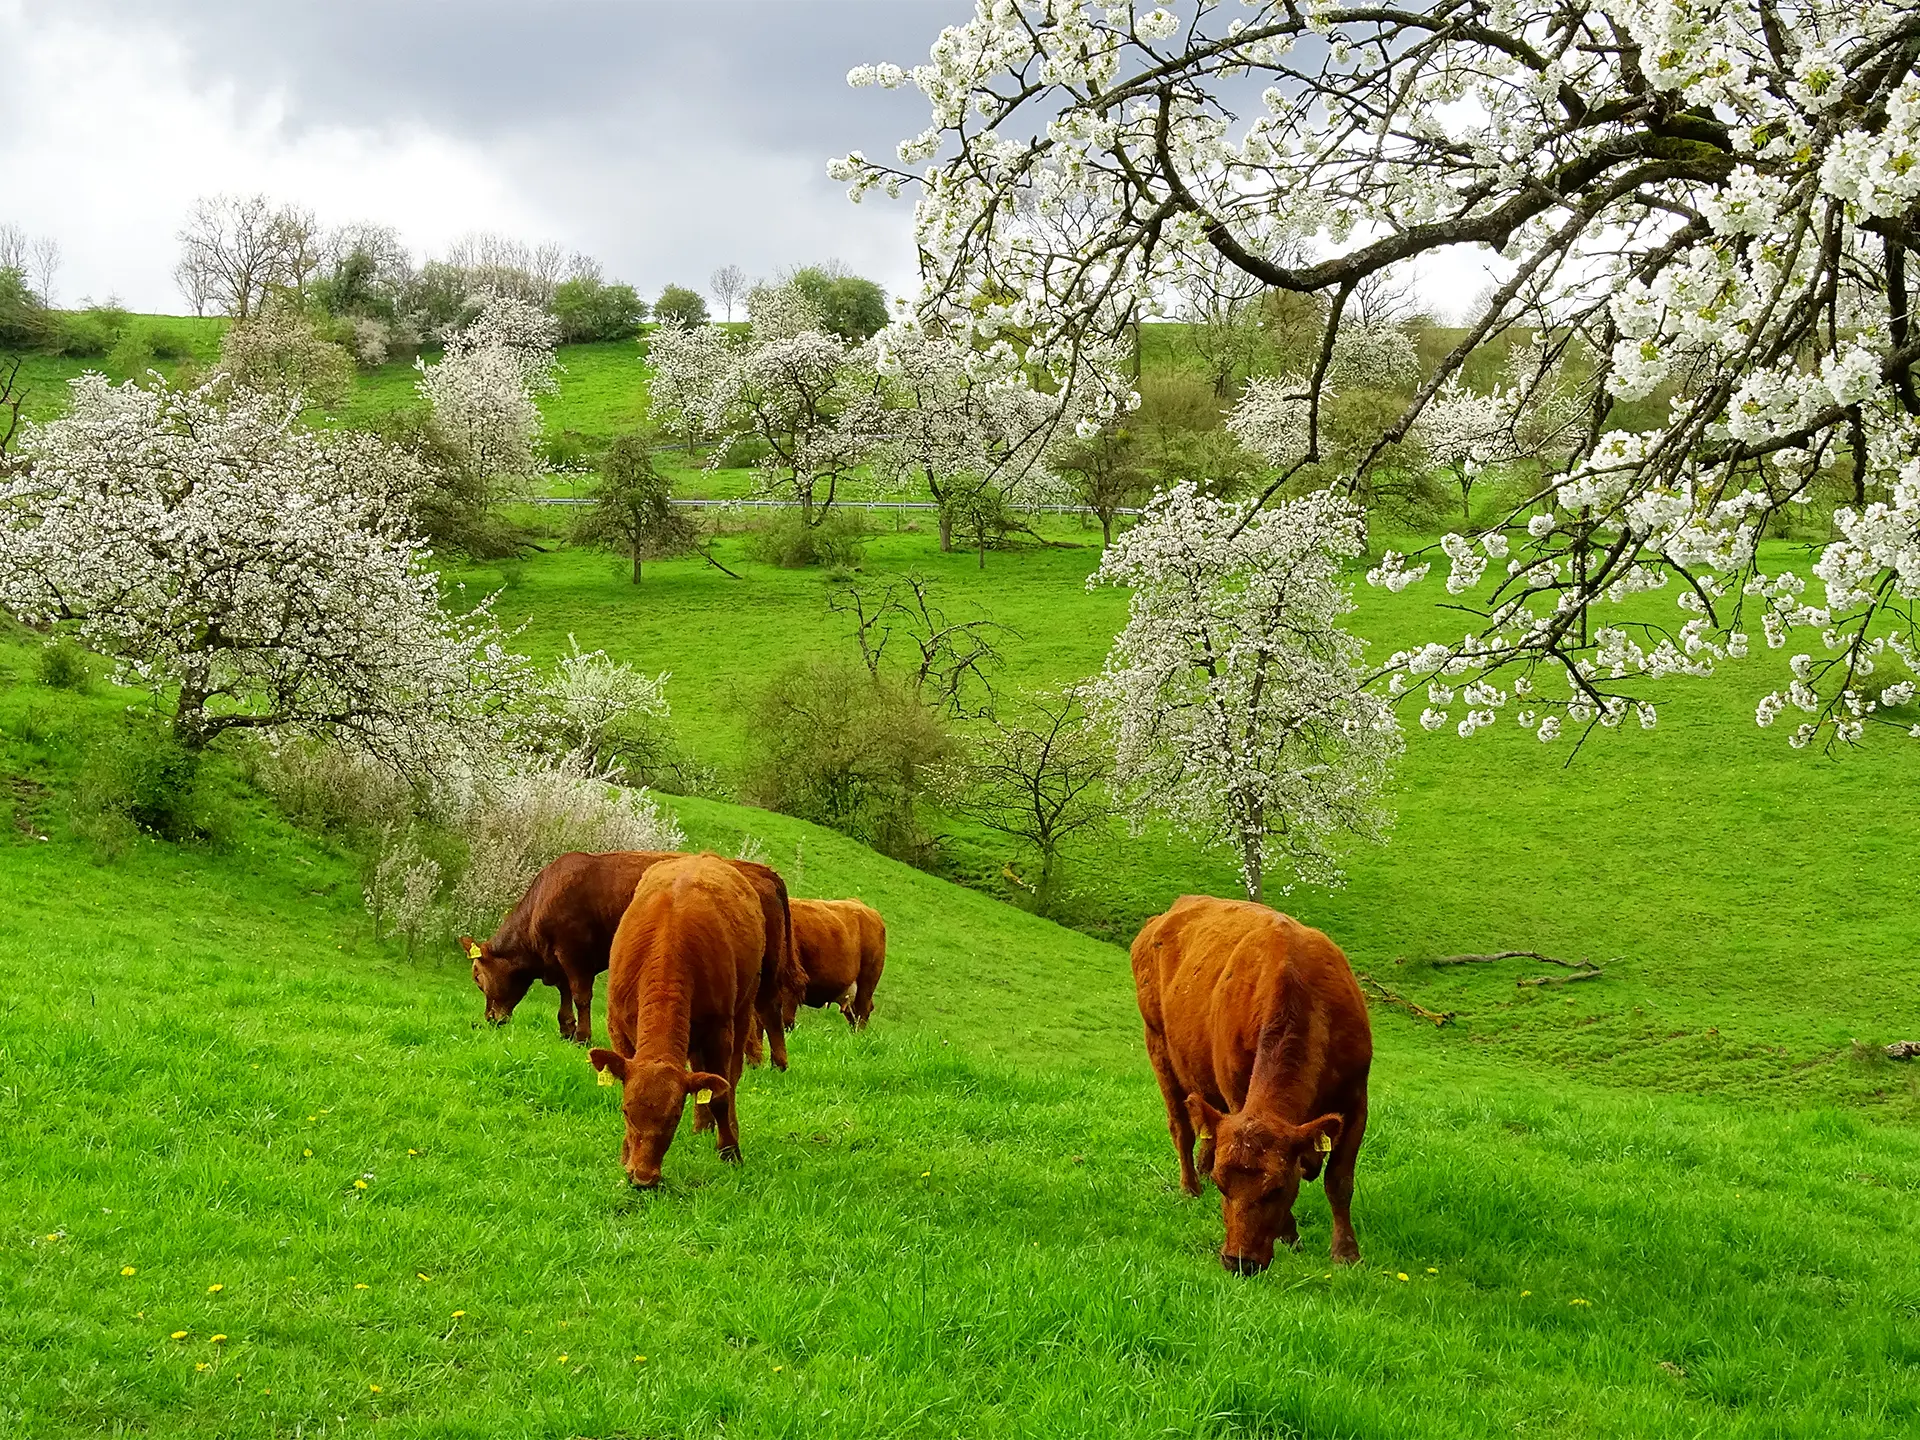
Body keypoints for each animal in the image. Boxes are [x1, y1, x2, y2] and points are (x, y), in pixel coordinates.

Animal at [458, 844, 802, 1075]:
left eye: (477, 978)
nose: (490, 1019)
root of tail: (763, 871)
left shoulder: (575, 954)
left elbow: (581, 996)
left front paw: (581, 1037)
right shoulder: (561, 960)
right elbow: (565, 996)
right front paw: (567, 1029)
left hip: (767, 966)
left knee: (769, 1009)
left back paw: (778, 1062)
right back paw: (756, 1060)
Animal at [583, 856, 764, 1182]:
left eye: (673, 1116)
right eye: (626, 1111)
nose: (643, 1177)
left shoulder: (720, 1029)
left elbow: (719, 1095)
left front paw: (730, 1151)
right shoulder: (618, 1028)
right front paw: (624, 1156)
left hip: (745, 1005)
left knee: (730, 1078)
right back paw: (702, 1126)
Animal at [1128, 898, 1374, 1282]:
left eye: (1276, 1188)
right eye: (1223, 1186)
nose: (1238, 1261)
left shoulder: (1356, 1099)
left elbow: (1339, 1181)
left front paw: (1346, 1253)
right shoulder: (1236, 1094)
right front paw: (1290, 1235)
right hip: (1157, 1044)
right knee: (1181, 1126)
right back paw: (1190, 1186)